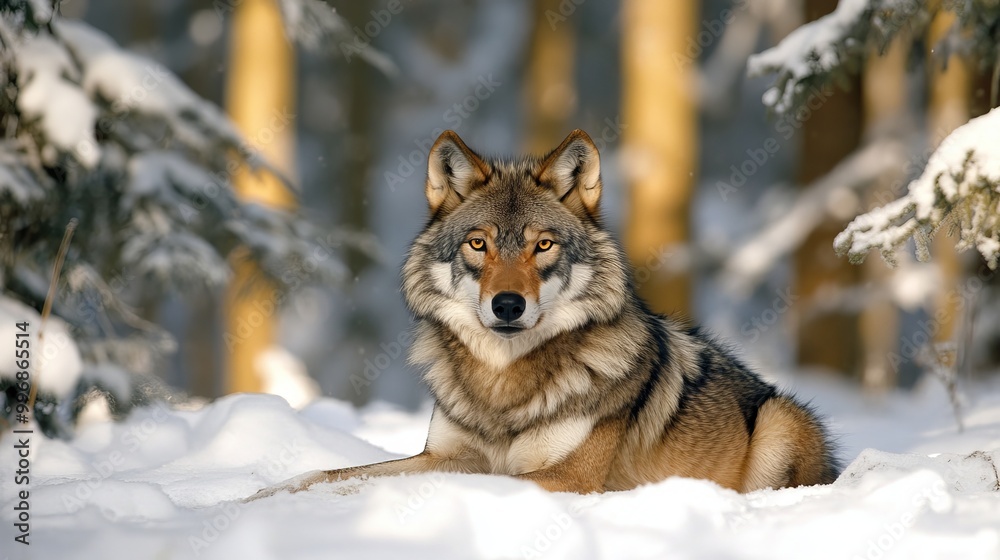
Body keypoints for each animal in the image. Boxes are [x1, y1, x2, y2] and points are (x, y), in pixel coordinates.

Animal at [248, 129, 840, 500]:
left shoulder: (564, 477)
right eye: (479, 244)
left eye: (544, 245)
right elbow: (332, 473)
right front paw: (256, 497)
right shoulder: (442, 454)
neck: (502, 386)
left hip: (781, 417)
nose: (507, 304)